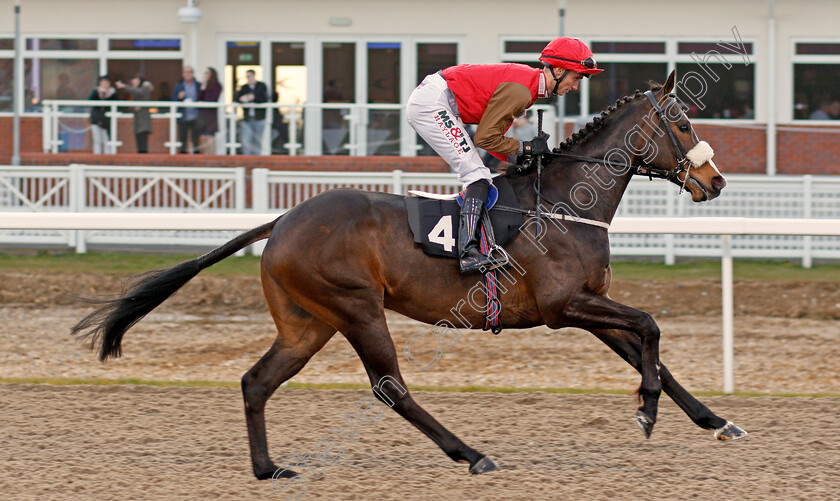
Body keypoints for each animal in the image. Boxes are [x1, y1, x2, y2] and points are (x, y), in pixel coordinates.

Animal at [70, 71, 740, 480]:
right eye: (683, 123)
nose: (716, 182)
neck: (562, 202)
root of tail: (283, 220)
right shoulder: (561, 306)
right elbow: (650, 327)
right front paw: (647, 412)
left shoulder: (587, 304)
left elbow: (651, 351)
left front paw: (715, 421)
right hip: (358, 308)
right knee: (390, 387)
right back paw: (471, 454)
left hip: (307, 324)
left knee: (256, 381)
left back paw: (268, 467)